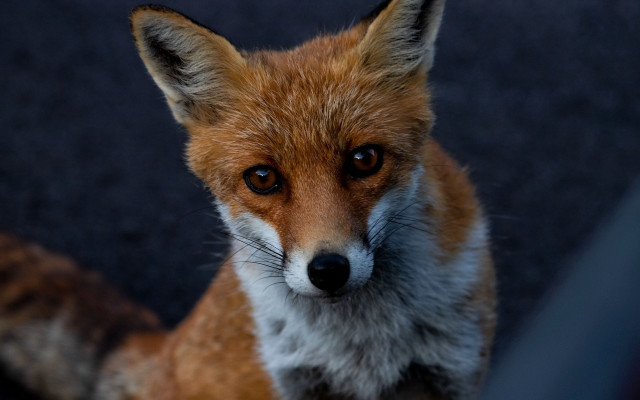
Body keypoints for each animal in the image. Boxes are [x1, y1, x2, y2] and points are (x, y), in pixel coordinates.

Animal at [0, 0, 496, 399]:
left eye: (365, 159)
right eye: (262, 178)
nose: (328, 270)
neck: (361, 346)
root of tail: (166, 348)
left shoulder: (453, 370)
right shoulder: (296, 379)